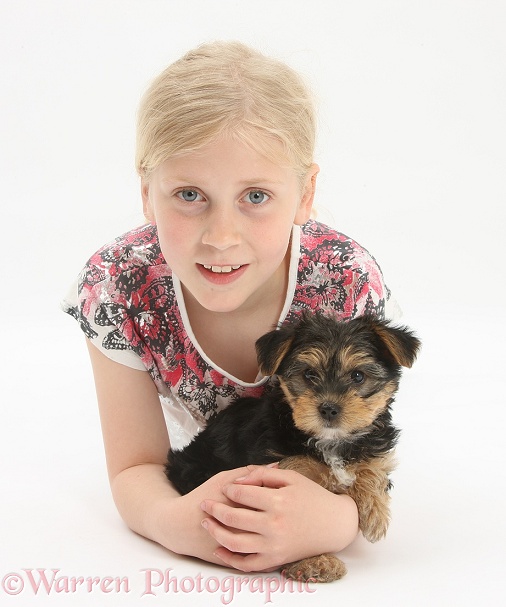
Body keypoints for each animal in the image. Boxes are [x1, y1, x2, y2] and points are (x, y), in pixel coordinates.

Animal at [165, 314, 420, 584]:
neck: (328, 441)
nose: (329, 408)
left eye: (358, 376)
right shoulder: (287, 471)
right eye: (309, 374)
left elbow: (373, 466)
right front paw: (313, 562)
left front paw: (375, 515)